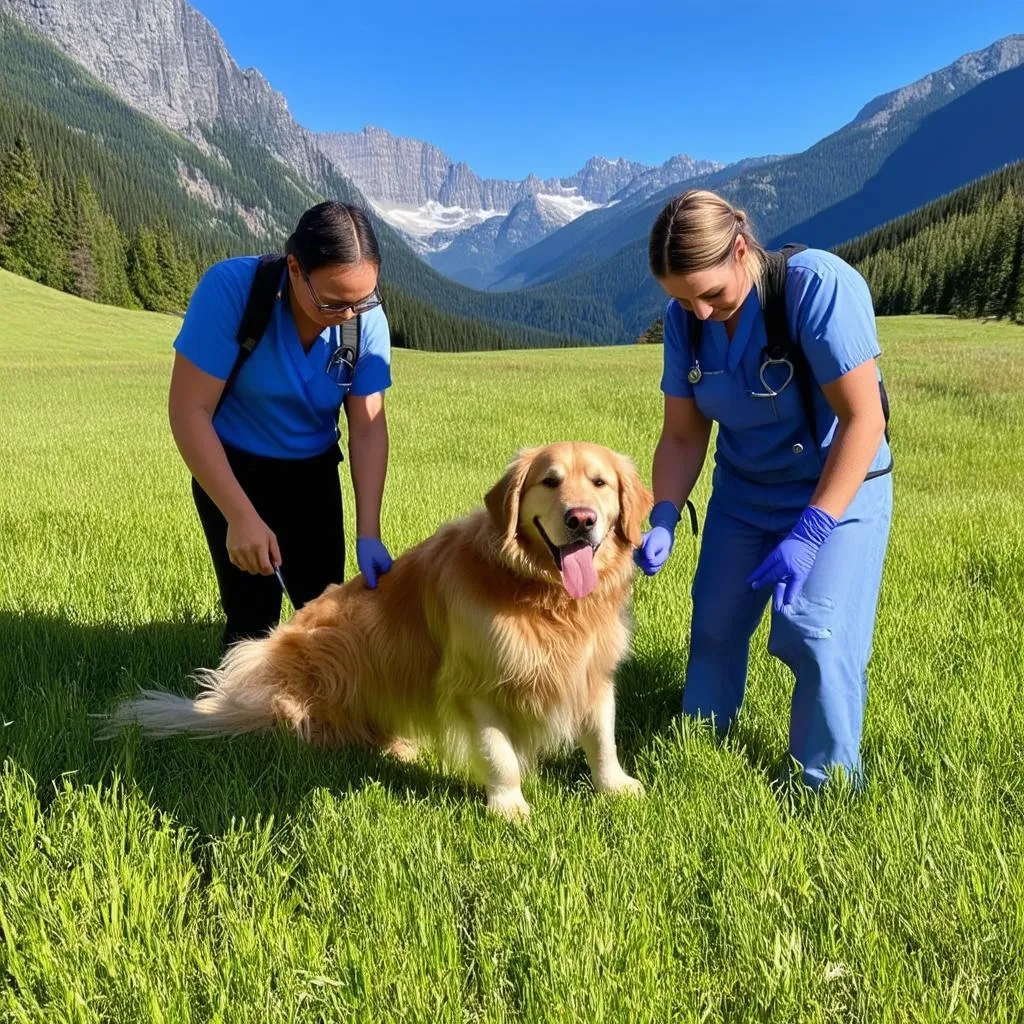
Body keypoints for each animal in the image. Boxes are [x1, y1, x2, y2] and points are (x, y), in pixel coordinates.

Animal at [108, 444, 651, 819]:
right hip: (337, 652)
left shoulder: (594, 672)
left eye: (600, 483)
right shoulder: (475, 686)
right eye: (550, 481)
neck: (545, 597)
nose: (580, 519)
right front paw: (509, 808)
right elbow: (500, 755)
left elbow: (602, 737)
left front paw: (616, 786)